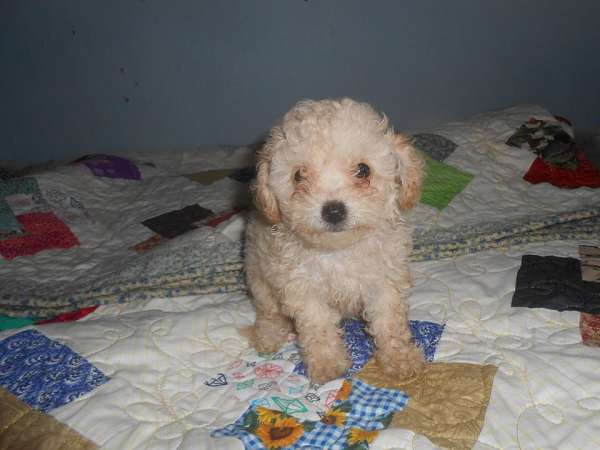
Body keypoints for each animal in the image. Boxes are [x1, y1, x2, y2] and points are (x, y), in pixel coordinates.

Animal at [245, 97, 426, 384]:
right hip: (258, 275)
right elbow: (318, 328)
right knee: (269, 311)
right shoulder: (303, 289)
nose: (333, 211)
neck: (339, 251)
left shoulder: (385, 280)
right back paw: (267, 336)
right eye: (298, 175)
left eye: (363, 170)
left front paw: (400, 359)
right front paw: (327, 363)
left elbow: (390, 322)